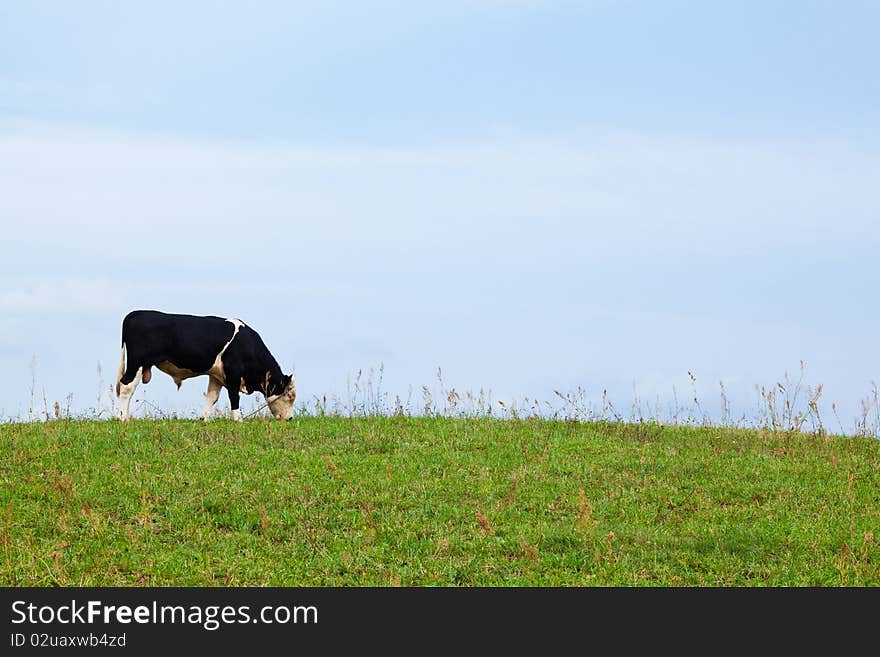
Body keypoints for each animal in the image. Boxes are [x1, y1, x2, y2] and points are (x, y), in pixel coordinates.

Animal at [114, 312, 296, 422]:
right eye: (289, 396)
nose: (289, 419)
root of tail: (136, 313)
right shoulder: (233, 372)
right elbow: (234, 396)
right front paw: (238, 420)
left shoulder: (216, 375)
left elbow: (212, 397)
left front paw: (205, 419)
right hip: (137, 363)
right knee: (126, 386)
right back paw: (123, 418)